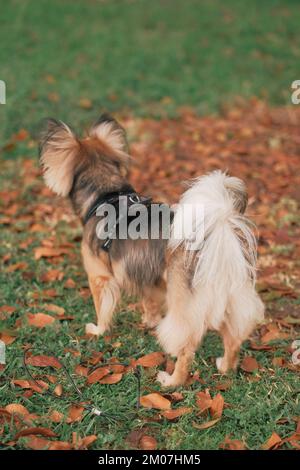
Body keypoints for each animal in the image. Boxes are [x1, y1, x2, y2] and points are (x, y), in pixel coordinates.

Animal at [39, 114, 264, 386]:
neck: (107, 195)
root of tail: (217, 233)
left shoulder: (100, 277)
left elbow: (102, 308)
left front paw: (98, 330)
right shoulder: (149, 277)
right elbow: (150, 302)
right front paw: (149, 321)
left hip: (185, 307)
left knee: (186, 348)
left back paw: (172, 381)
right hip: (231, 299)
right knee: (233, 338)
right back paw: (225, 367)